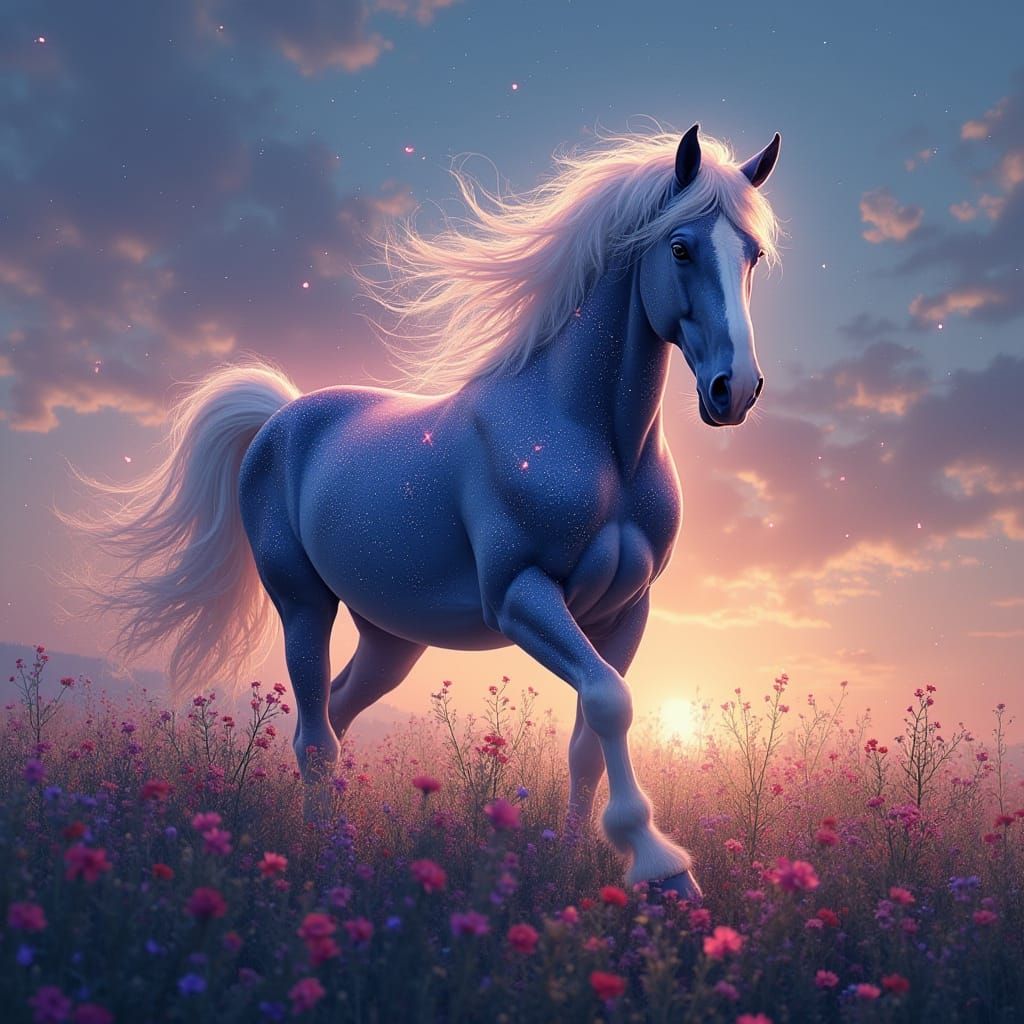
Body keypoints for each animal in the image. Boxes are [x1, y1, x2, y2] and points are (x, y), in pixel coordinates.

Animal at [71, 124, 781, 898]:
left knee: (336, 715)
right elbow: (608, 701)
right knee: (315, 736)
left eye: (753, 255)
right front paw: (659, 863)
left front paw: (584, 870)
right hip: (303, 605)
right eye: (680, 248)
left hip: (391, 636)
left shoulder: (626, 610)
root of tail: (281, 418)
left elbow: (590, 735)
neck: (596, 443)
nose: (735, 390)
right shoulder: (521, 596)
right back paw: (322, 859)